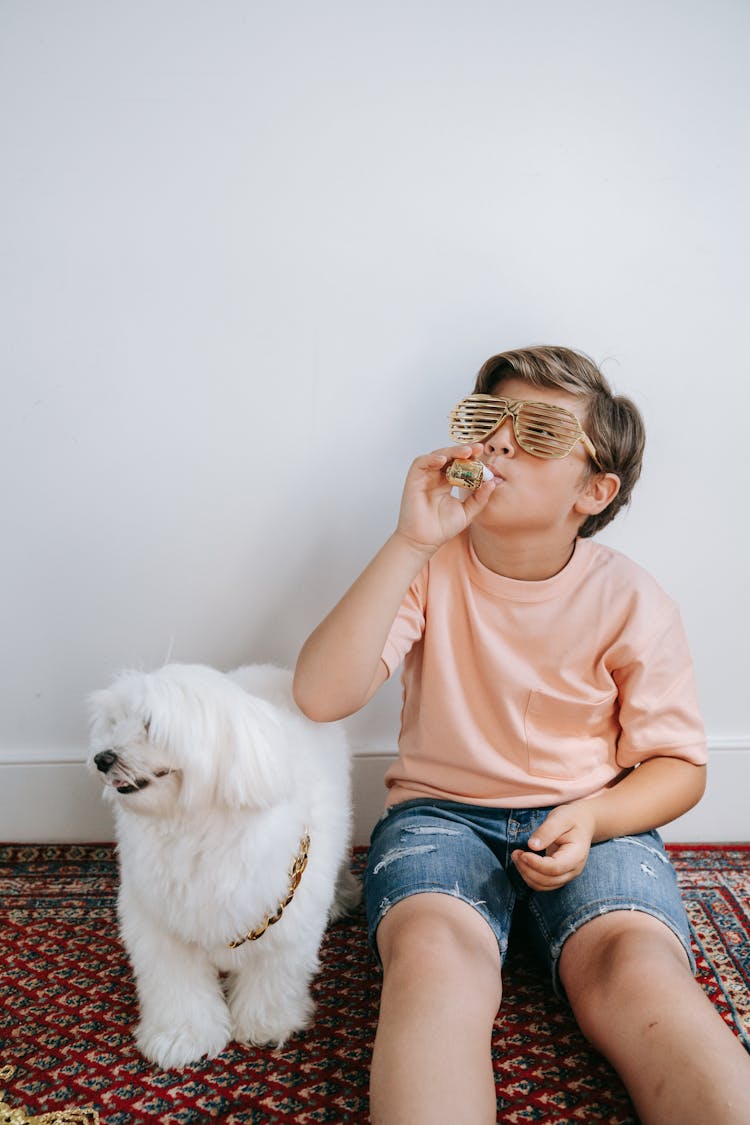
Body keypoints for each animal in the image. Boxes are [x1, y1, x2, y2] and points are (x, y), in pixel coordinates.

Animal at [88, 661, 357, 1066]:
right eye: (115, 722)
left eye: (150, 724)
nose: (101, 758)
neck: (194, 827)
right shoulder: (158, 925)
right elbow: (177, 986)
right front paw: (180, 1036)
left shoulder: (286, 919)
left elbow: (273, 976)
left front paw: (266, 1024)